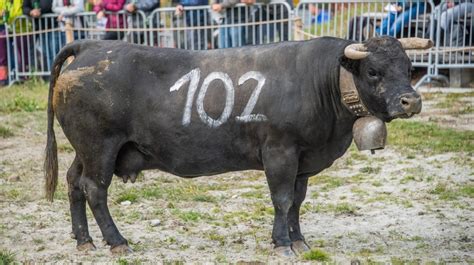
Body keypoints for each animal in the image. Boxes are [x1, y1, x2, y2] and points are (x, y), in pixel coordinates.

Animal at [44, 36, 426, 255]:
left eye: (409, 68)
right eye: (373, 71)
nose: (411, 101)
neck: (322, 81)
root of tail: (92, 46)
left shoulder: (303, 159)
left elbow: (297, 201)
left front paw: (299, 241)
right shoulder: (280, 152)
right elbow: (282, 199)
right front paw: (282, 245)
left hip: (85, 150)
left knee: (73, 183)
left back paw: (84, 241)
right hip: (100, 146)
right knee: (95, 189)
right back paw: (117, 242)